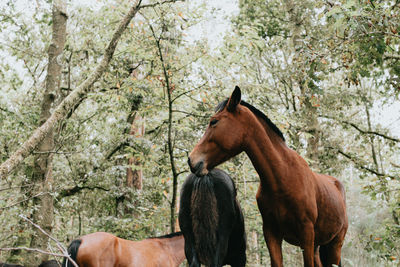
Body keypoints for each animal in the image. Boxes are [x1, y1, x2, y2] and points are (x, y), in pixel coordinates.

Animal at [188, 87, 346, 266]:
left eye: (214, 121)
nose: (191, 160)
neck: (283, 178)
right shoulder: (271, 234)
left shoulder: (306, 234)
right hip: (317, 247)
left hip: (334, 245)